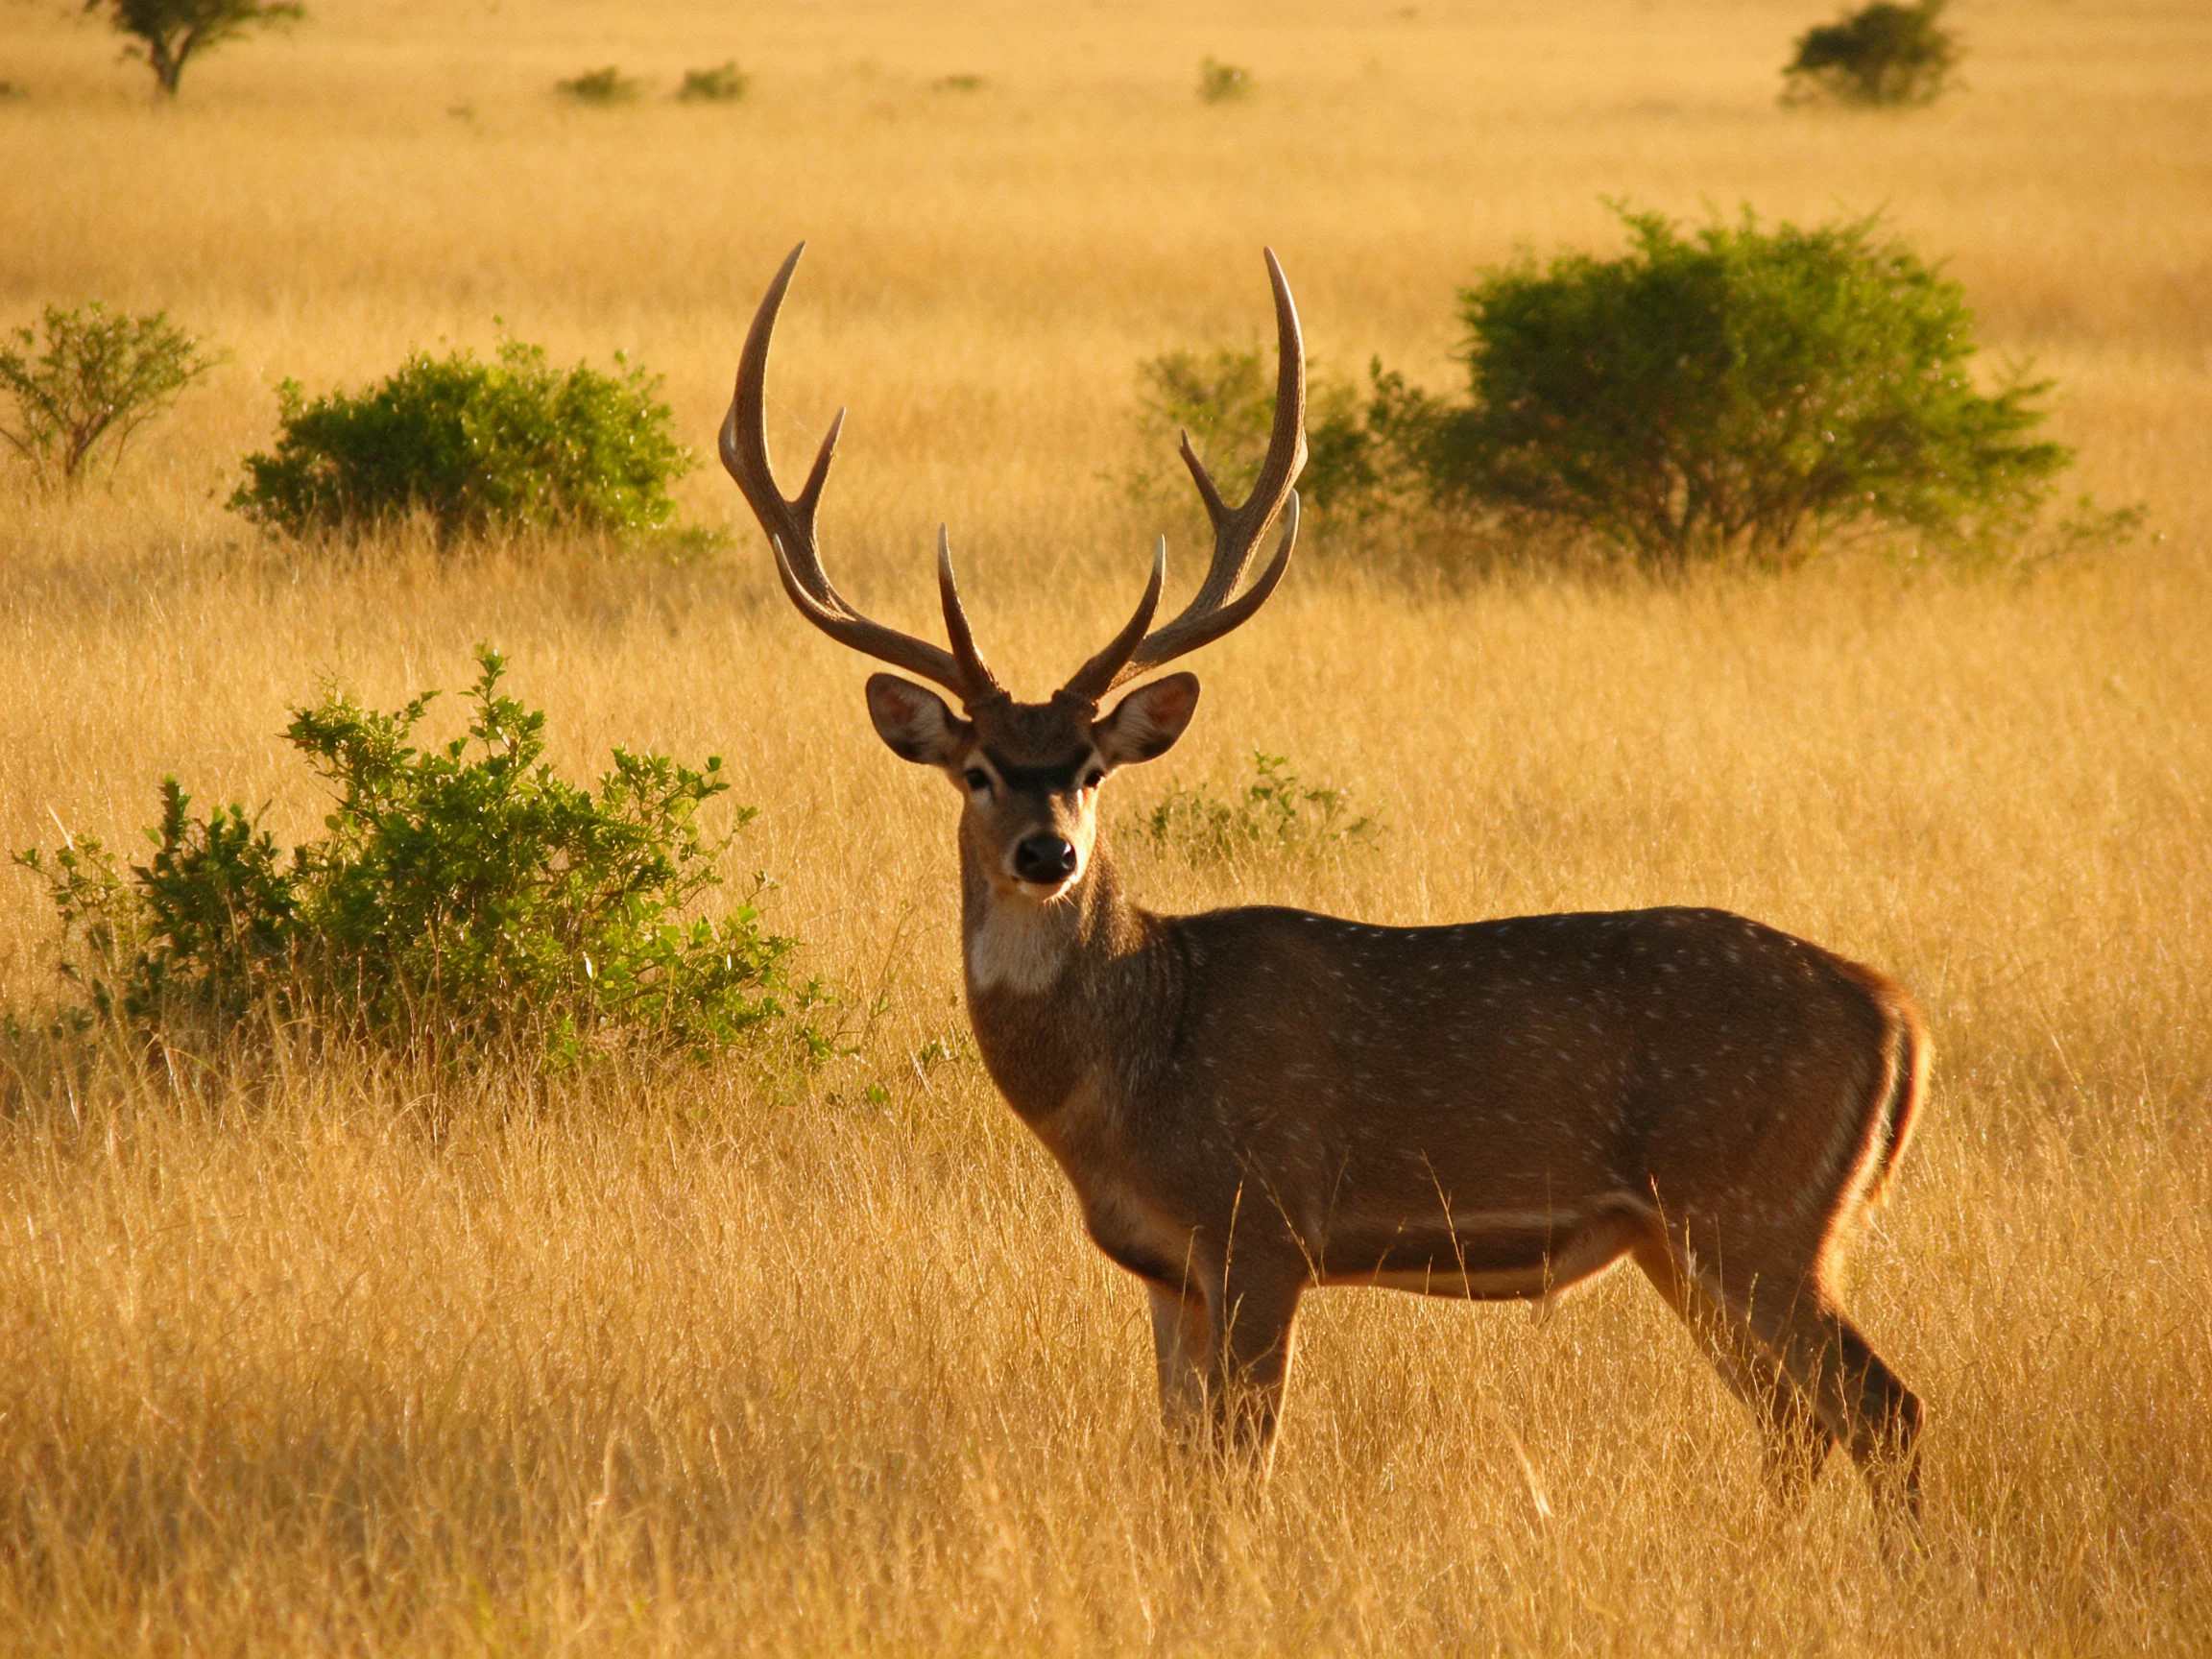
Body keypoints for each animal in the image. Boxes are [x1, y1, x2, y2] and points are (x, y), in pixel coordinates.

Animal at [719, 244, 1929, 1524]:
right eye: (979, 770)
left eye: (1092, 767)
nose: (1048, 853)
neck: (1133, 1066)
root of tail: (1896, 1013)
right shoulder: (1166, 1268)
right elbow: (1181, 1454)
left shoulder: (1262, 1229)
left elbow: (1244, 1457)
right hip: (1698, 1237)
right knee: (1800, 1421)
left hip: (1752, 1211)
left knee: (1878, 1408)